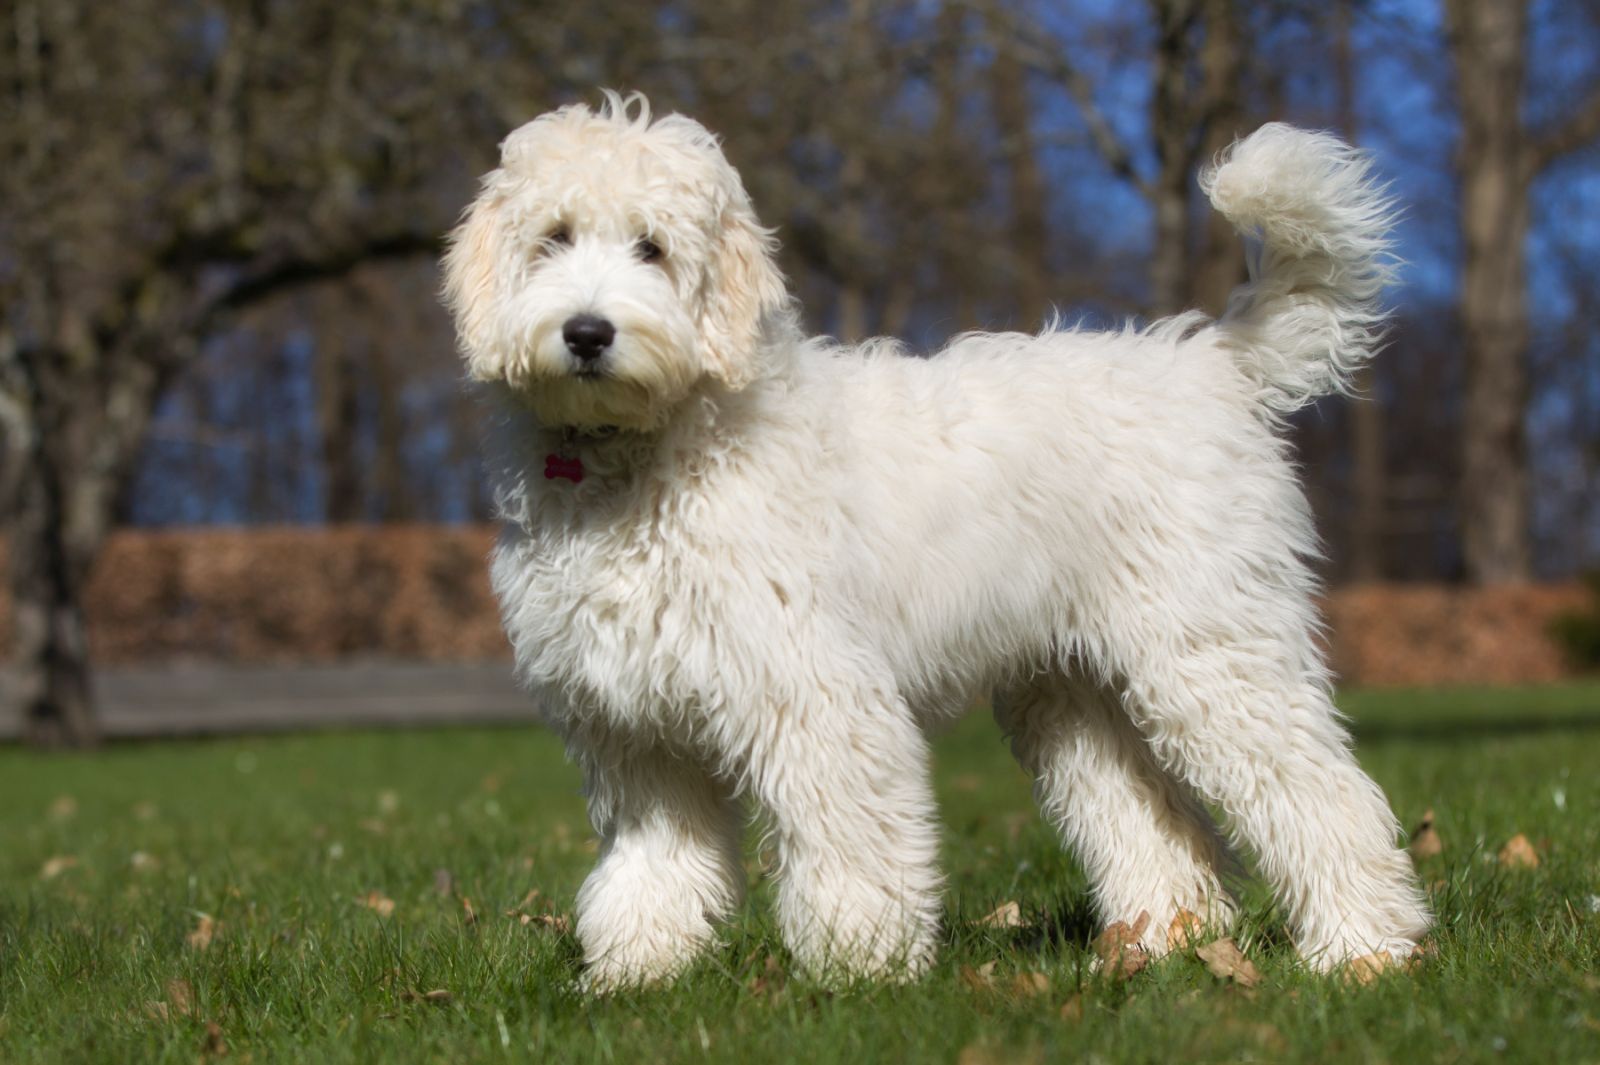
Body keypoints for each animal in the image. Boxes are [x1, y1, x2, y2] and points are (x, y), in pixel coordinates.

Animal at [438, 93, 1427, 985]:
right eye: (554, 237)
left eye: (652, 246)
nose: (587, 332)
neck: (645, 451)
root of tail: (1212, 360)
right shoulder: (639, 732)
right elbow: (653, 862)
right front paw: (637, 973)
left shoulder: (817, 692)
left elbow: (850, 841)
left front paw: (860, 968)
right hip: (1078, 692)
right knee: (1153, 823)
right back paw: (1158, 945)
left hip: (1213, 652)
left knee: (1322, 793)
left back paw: (1362, 949)